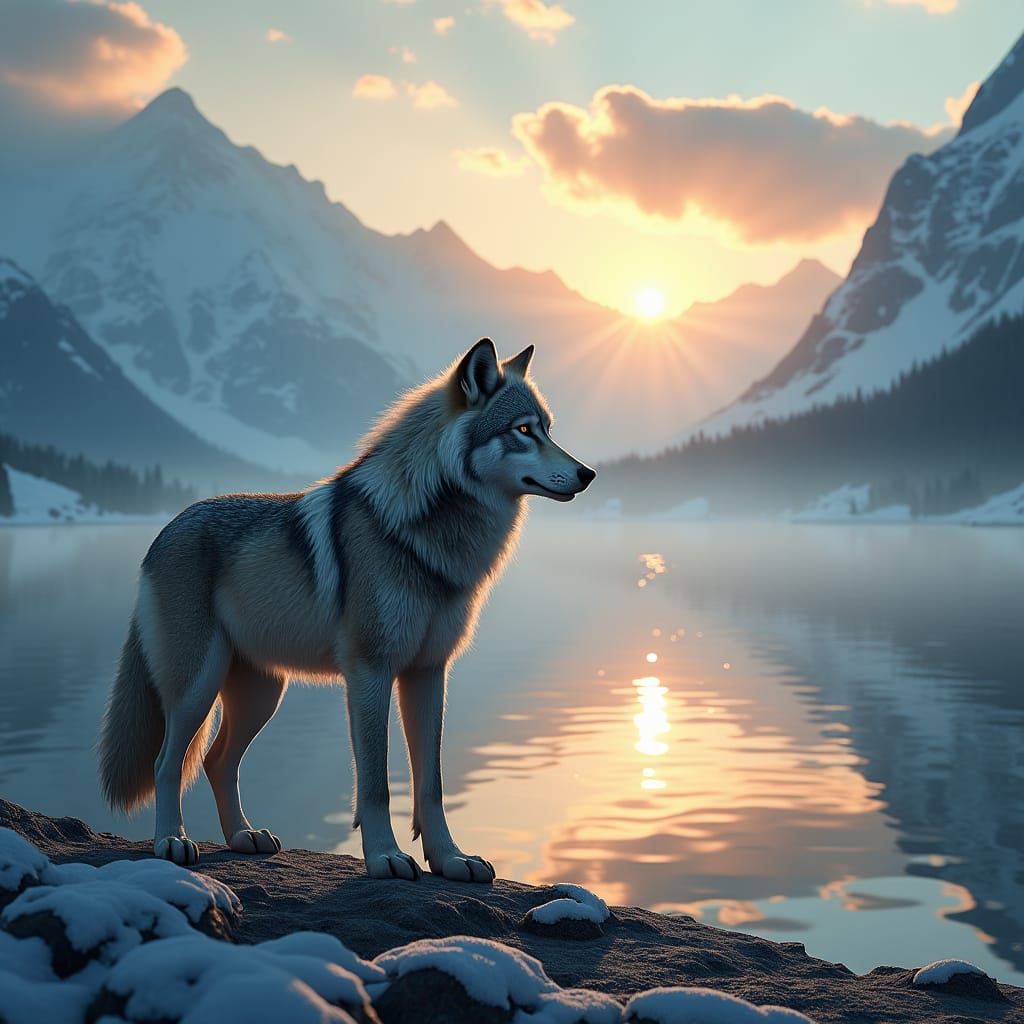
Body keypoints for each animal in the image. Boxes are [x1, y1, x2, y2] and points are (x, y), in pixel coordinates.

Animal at [97, 339, 595, 881]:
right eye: (523, 430)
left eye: (548, 428)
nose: (588, 474)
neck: (426, 538)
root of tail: (163, 532)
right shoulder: (370, 672)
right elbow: (376, 784)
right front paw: (385, 857)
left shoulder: (428, 673)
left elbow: (431, 785)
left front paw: (450, 859)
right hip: (197, 689)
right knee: (167, 764)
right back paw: (172, 842)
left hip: (262, 696)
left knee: (216, 762)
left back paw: (244, 837)